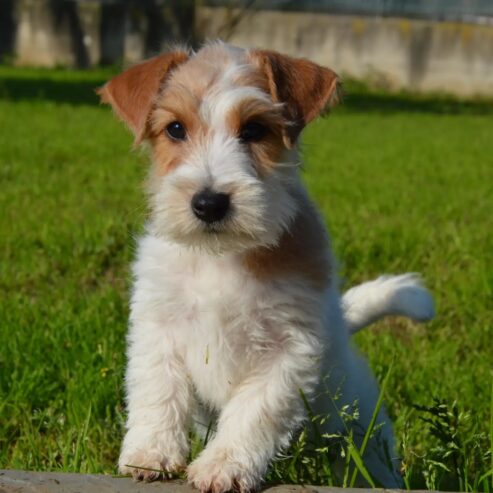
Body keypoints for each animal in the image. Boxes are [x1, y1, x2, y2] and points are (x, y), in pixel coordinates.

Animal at [99, 41, 430, 488]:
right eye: (175, 129)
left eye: (254, 129)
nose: (209, 203)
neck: (222, 258)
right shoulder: (158, 328)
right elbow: (158, 393)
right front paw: (151, 454)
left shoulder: (287, 350)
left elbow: (252, 415)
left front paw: (222, 467)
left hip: (361, 433)